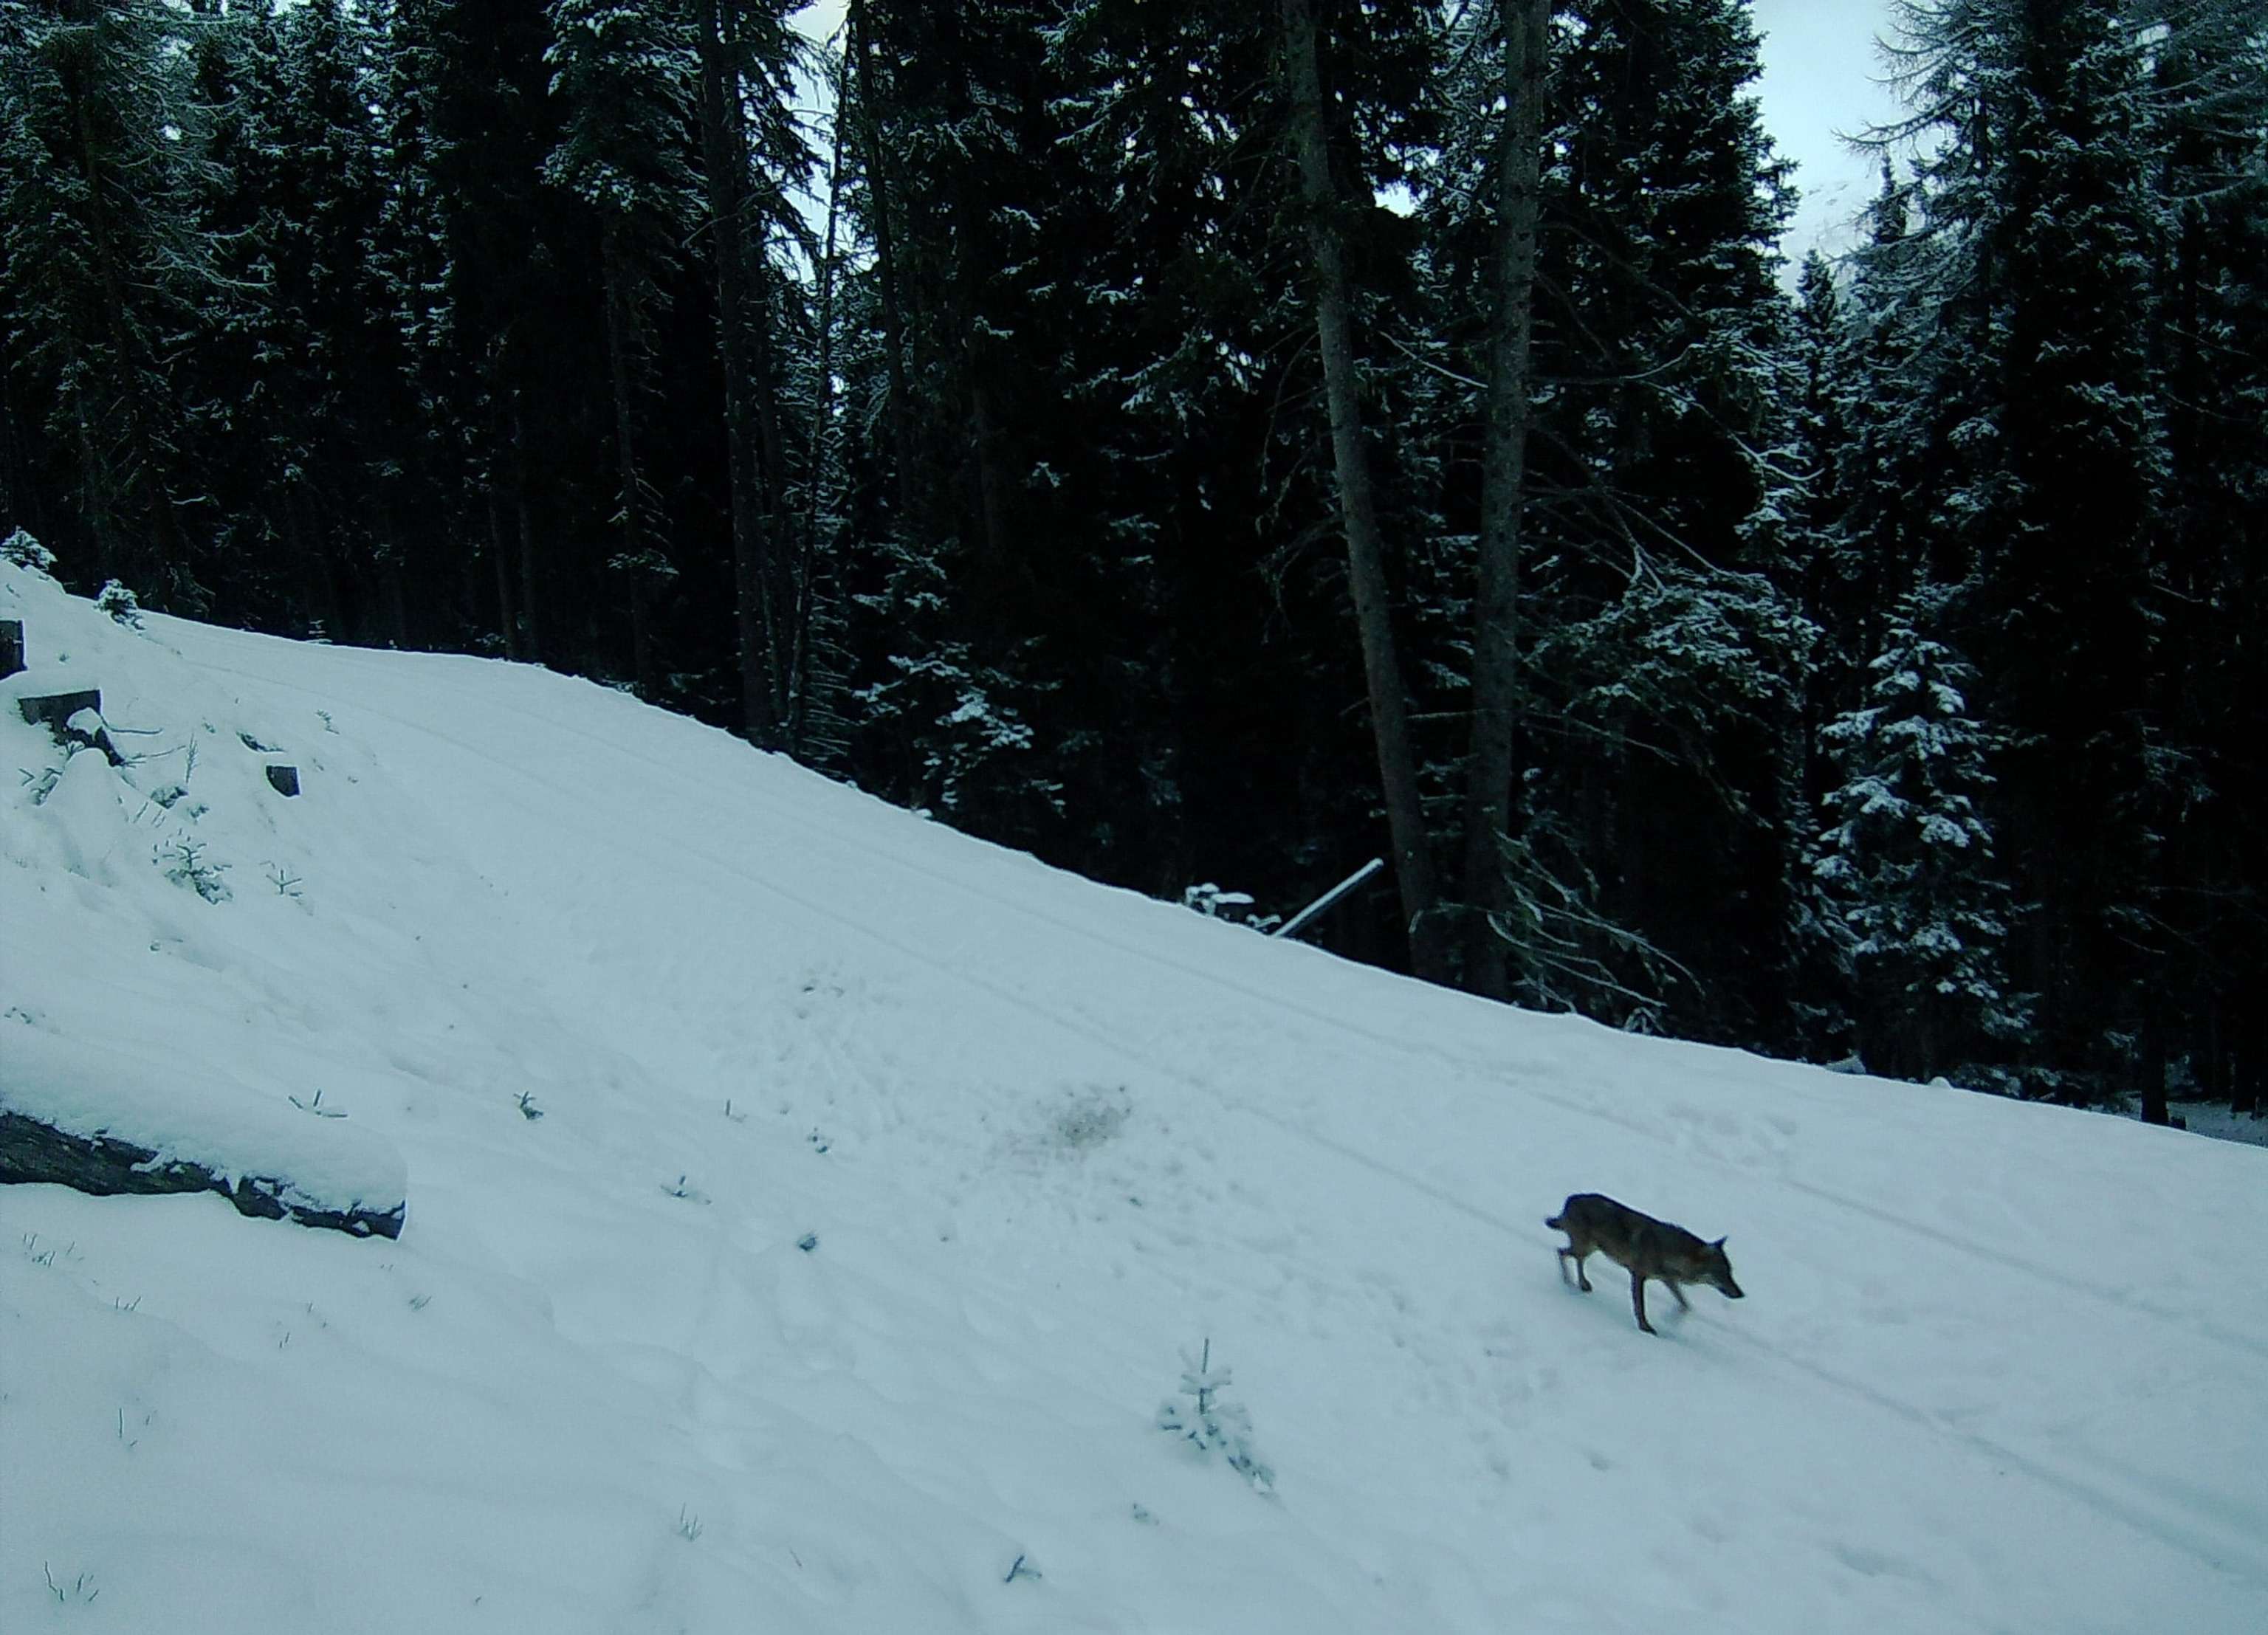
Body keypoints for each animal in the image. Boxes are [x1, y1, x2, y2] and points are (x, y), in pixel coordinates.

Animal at [1546, 1193, 1744, 1335]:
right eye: (1722, 1273)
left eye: (1731, 1272)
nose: (1741, 1294)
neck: (1669, 1251)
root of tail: (1571, 1199)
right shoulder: (1639, 1276)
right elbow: (1640, 1306)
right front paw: (1646, 1328)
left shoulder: (1669, 1280)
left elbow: (1685, 1305)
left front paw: (1669, 1320)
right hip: (1584, 1247)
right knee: (1560, 1252)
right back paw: (1569, 1282)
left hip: (1589, 1249)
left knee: (1573, 1258)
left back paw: (1583, 1284)